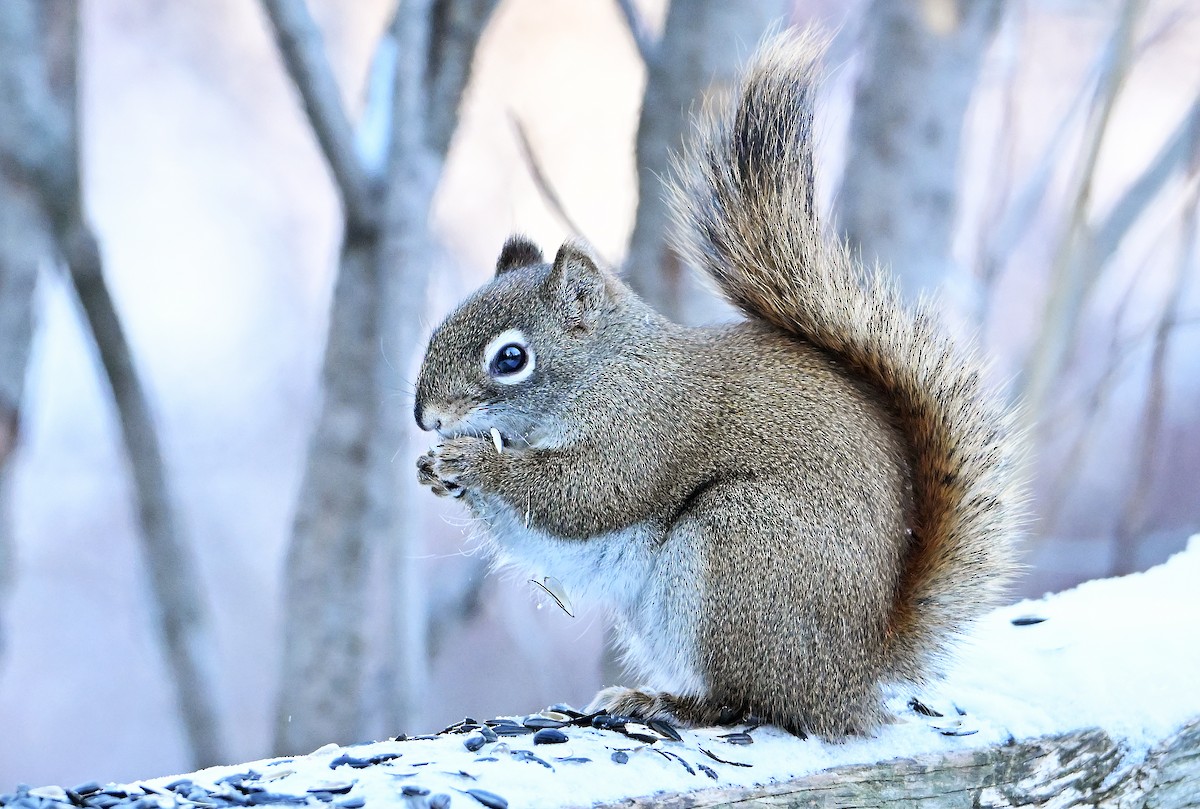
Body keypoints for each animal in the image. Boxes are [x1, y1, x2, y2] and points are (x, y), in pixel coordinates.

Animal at [413, 32, 1024, 738]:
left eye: (511, 358)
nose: (427, 418)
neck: (608, 371)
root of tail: (854, 674)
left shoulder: (645, 432)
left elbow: (586, 495)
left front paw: (471, 460)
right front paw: (435, 469)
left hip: (737, 553)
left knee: (746, 700)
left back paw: (664, 702)